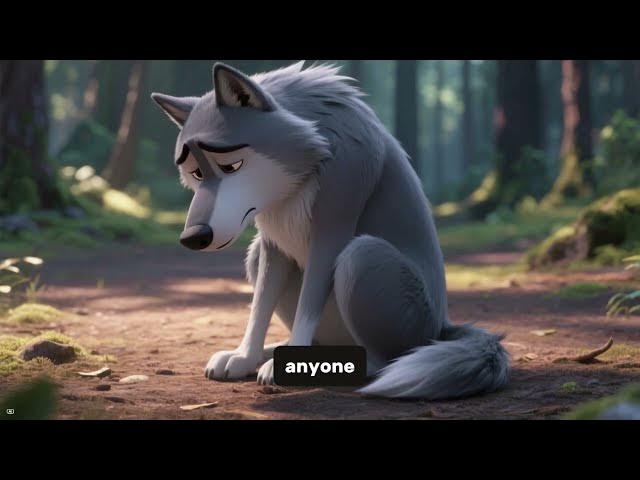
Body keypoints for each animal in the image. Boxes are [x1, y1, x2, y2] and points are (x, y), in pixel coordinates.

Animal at [151, 61, 509, 399]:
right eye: (196, 173)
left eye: (231, 166)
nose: (192, 237)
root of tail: (441, 328)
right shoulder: (272, 243)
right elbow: (259, 307)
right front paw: (244, 357)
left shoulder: (331, 231)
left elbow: (308, 304)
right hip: (256, 256)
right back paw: (273, 354)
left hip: (363, 257)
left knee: (386, 357)